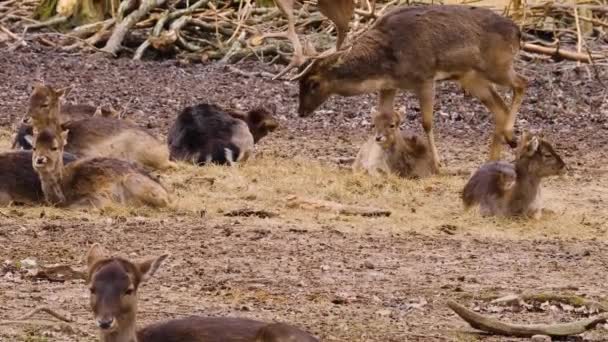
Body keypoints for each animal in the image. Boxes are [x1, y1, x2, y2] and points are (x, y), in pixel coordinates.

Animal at [32, 128, 172, 208]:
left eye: (54, 147)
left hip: (132, 180)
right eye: (34, 147)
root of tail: (168, 193)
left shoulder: (99, 196)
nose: (40, 160)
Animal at [294, 4, 528, 170]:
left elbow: (426, 123)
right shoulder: (390, 85)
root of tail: (518, 32)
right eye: (299, 81)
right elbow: (383, 114)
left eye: (314, 82)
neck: (385, 63)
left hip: (497, 65)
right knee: (499, 107)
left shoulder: (425, 77)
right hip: (470, 77)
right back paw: (493, 158)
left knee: (522, 83)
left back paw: (511, 138)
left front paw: (437, 164)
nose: (301, 111)